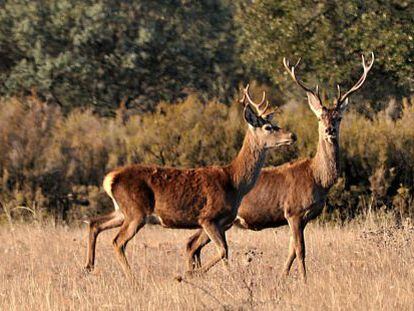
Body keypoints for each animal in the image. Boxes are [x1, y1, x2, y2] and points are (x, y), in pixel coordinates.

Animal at [85, 86, 298, 280]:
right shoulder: (208, 217)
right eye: (268, 127)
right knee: (117, 241)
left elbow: (218, 251)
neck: (234, 182)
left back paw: (88, 266)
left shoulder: (221, 222)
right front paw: (193, 273)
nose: (292, 135)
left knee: (95, 223)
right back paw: (131, 276)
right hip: (136, 211)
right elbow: (223, 250)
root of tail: (109, 178)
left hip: (122, 211)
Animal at [186, 53, 374, 282]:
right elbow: (300, 250)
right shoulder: (293, 211)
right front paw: (304, 279)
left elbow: (291, 250)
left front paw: (283, 276)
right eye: (320, 117)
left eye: (338, 117)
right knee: (193, 244)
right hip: (217, 218)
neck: (317, 178)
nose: (330, 130)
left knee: (192, 244)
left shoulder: (302, 218)